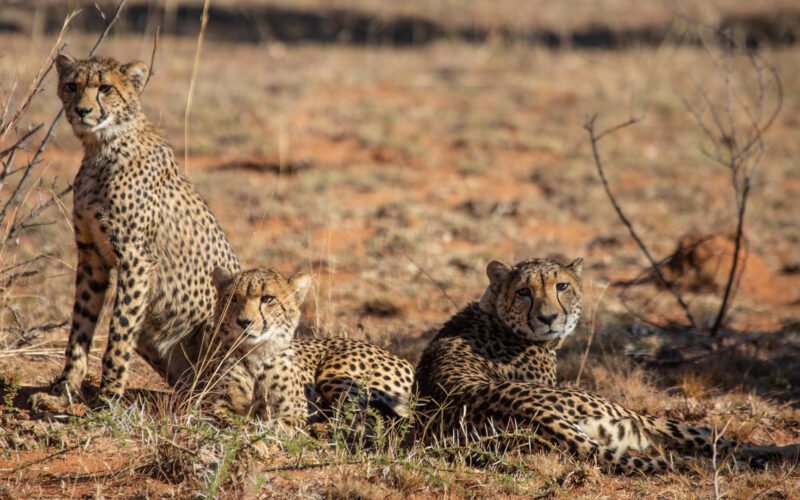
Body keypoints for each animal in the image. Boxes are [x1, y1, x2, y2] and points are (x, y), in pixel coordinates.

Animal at [30, 54, 239, 412]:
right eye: (71, 85)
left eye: (105, 88)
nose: (82, 111)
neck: (102, 146)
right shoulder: (91, 256)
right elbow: (80, 327)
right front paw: (64, 390)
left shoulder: (136, 258)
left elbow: (119, 333)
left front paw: (109, 396)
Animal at [207, 267, 414, 431]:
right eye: (232, 298)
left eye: (267, 299)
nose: (243, 322)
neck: (256, 354)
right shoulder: (211, 405)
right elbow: (223, 419)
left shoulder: (297, 412)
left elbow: (277, 424)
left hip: (333, 374)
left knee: (365, 419)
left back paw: (322, 428)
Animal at [413, 257, 799, 474]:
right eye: (523, 291)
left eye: (562, 286)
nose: (549, 318)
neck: (495, 313)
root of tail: (538, 416)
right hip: (631, 416)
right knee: (716, 440)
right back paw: (780, 453)